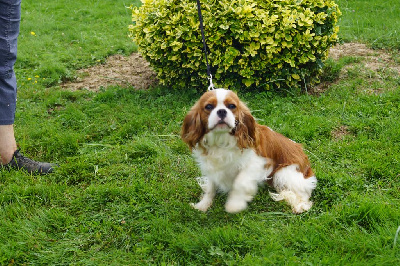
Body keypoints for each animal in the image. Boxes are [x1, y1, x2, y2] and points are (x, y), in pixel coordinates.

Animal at [180, 88, 316, 213]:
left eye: (232, 106)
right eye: (208, 106)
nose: (222, 111)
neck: (221, 140)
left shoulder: (258, 163)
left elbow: (240, 182)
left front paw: (234, 204)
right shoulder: (212, 166)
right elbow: (210, 187)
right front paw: (203, 205)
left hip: (284, 173)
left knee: (304, 193)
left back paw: (300, 205)